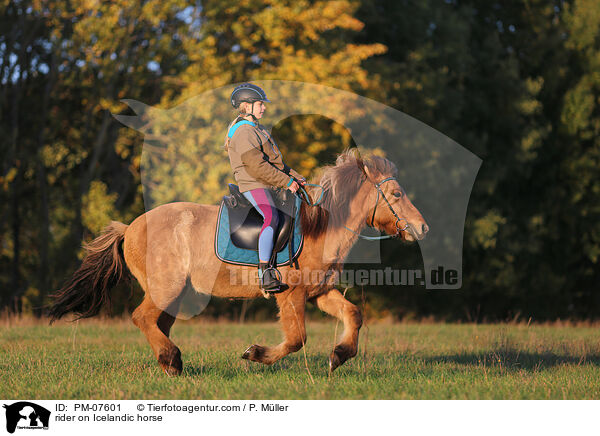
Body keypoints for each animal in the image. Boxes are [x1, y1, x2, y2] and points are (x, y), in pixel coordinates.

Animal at [49, 149, 428, 374]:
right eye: (396, 194)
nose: (422, 227)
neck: (320, 227)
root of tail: (130, 228)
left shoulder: (319, 293)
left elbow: (353, 314)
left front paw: (339, 355)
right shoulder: (290, 296)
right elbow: (297, 338)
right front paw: (255, 354)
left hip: (174, 294)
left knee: (158, 324)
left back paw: (170, 363)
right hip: (165, 288)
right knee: (142, 318)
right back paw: (172, 359)